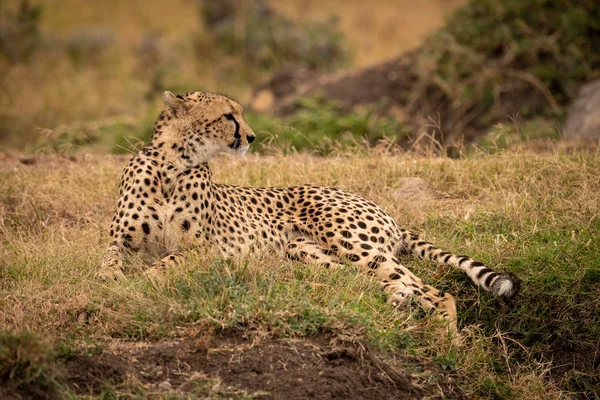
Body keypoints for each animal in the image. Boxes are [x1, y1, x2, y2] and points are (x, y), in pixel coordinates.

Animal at [99, 90, 520, 332]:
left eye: (239, 114)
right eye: (228, 116)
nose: (251, 137)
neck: (173, 164)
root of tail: (384, 210)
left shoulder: (208, 249)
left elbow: (169, 261)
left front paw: (144, 280)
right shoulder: (119, 240)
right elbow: (107, 259)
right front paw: (110, 280)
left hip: (353, 243)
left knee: (434, 291)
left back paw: (451, 343)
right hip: (306, 252)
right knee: (373, 283)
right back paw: (391, 301)